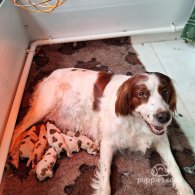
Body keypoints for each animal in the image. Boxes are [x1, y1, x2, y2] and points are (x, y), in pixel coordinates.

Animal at [8, 68, 193, 194]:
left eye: (166, 91)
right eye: (141, 93)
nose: (164, 117)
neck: (135, 120)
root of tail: (51, 74)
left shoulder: (160, 138)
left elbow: (174, 164)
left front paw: (184, 187)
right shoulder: (108, 142)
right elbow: (105, 177)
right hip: (43, 107)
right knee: (17, 129)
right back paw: (13, 155)